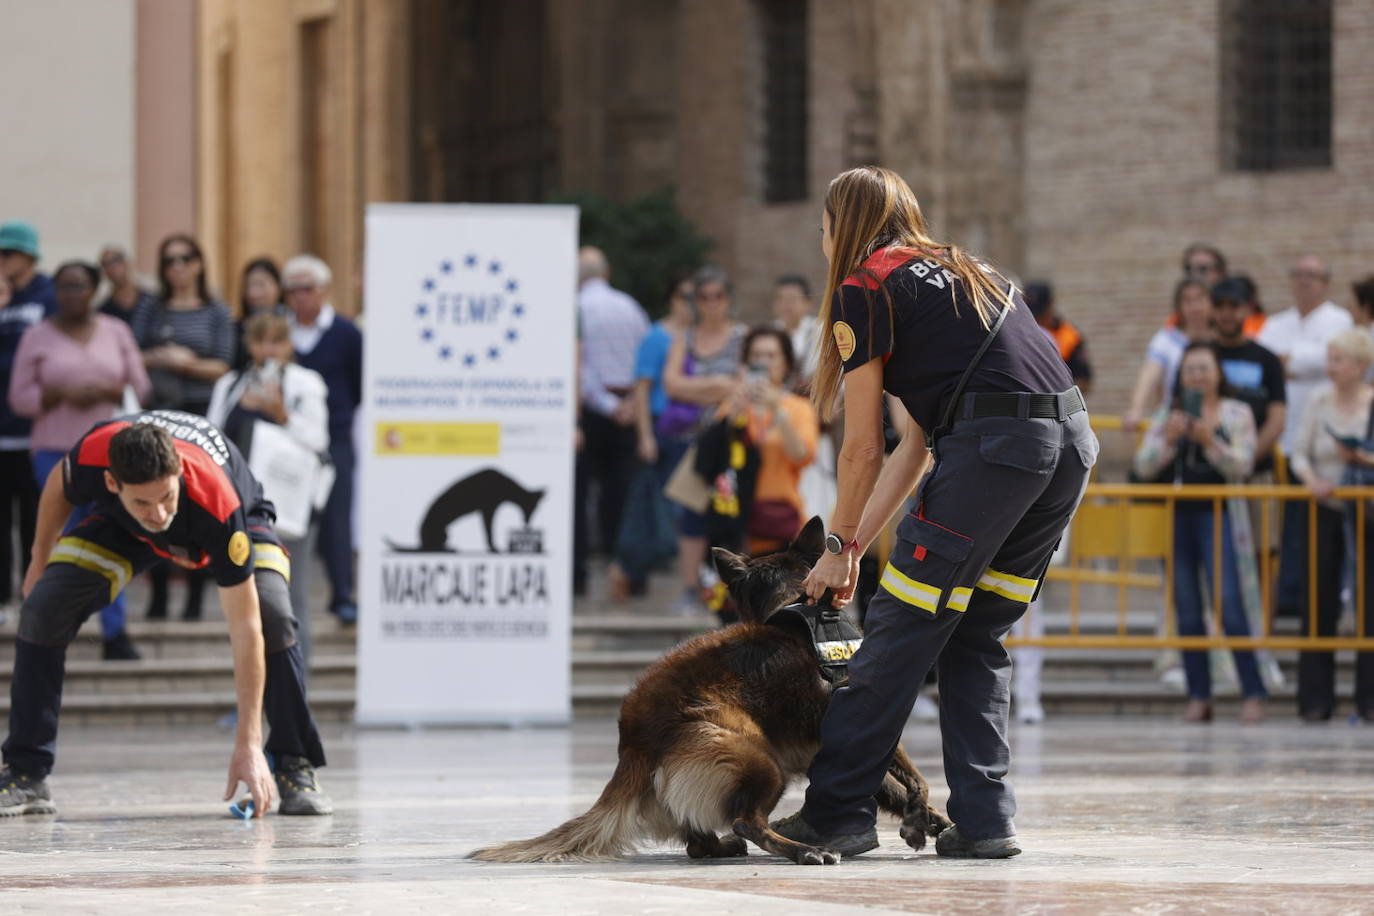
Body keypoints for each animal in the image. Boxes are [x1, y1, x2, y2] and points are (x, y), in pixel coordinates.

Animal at [467, 519, 950, 862]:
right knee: (745, 821)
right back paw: (805, 851)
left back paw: (722, 847)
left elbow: (890, 786)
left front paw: (935, 823)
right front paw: (919, 822)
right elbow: (914, 779)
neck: (792, 604)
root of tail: (634, 744)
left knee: (697, 843)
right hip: (759, 758)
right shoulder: (867, 725)